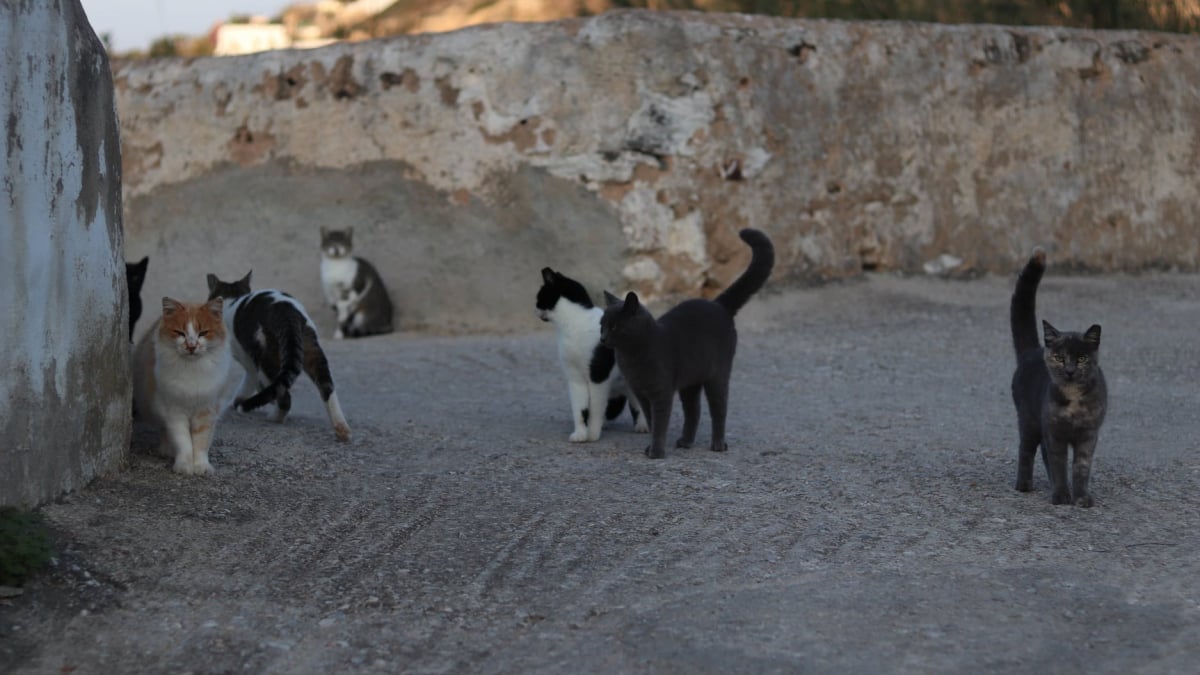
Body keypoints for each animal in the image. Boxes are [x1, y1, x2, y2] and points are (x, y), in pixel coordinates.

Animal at [133, 294, 234, 473]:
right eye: (179, 332)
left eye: (203, 333)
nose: (191, 346)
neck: (192, 370)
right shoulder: (174, 411)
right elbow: (183, 441)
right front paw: (184, 466)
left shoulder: (206, 411)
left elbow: (200, 442)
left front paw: (201, 467)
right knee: (164, 431)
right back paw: (166, 450)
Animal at [206, 267, 350, 441]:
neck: (233, 297)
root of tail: (287, 313)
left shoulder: (247, 360)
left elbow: (250, 384)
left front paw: (238, 403)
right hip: (311, 349)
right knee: (327, 387)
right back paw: (341, 428)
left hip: (265, 358)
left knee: (284, 395)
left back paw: (274, 417)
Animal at [600, 227, 777, 456]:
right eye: (601, 325)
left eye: (614, 327)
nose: (603, 338)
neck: (631, 357)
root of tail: (719, 304)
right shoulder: (641, 394)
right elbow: (651, 420)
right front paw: (650, 447)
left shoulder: (661, 393)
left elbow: (659, 423)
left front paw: (656, 452)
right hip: (690, 382)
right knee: (694, 411)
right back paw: (686, 442)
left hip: (717, 376)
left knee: (719, 410)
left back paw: (718, 445)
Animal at [1008, 247, 1108, 504]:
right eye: (1059, 358)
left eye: (1081, 358)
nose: (1070, 370)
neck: (1073, 401)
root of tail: (1032, 351)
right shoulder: (1055, 432)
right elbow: (1059, 464)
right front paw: (1062, 496)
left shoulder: (1088, 435)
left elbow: (1081, 468)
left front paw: (1081, 497)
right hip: (1029, 420)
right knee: (1026, 450)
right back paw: (1024, 485)